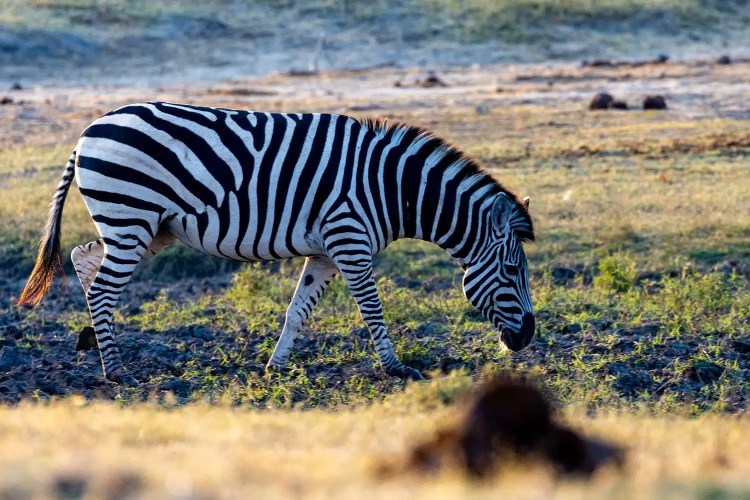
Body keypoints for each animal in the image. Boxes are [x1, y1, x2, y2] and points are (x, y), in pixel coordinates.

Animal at [17, 102, 535, 385]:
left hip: (148, 225)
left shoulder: (327, 251)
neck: (391, 188)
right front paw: (395, 367)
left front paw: (276, 365)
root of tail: (90, 130)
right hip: (132, 215)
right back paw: (115, 369)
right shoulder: (349, 240)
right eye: (513, 272)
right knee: (104, 285)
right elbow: (373, 309)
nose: (529, 337)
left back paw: (93, 341)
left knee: (85, 260)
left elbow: (297, 310)